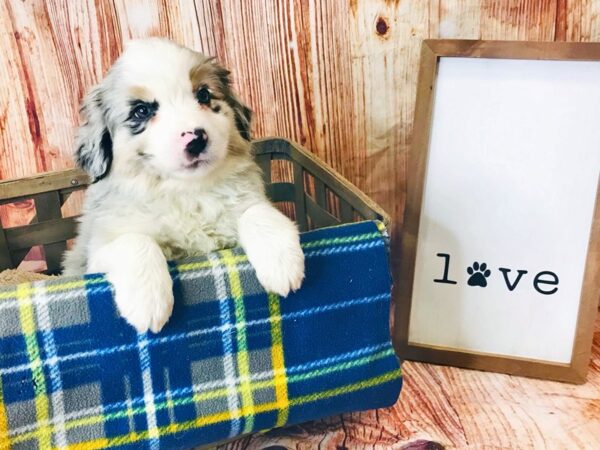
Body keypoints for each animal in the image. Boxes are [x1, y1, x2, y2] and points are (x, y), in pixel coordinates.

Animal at [63, 38, 304, 332]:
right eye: (141, 111)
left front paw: (282, 264)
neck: (187, 192)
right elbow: (134, 240)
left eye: (203, 95)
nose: (196, 139)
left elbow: (257, 211)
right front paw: (148, 302)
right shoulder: (93, 255)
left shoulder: (244, 200)